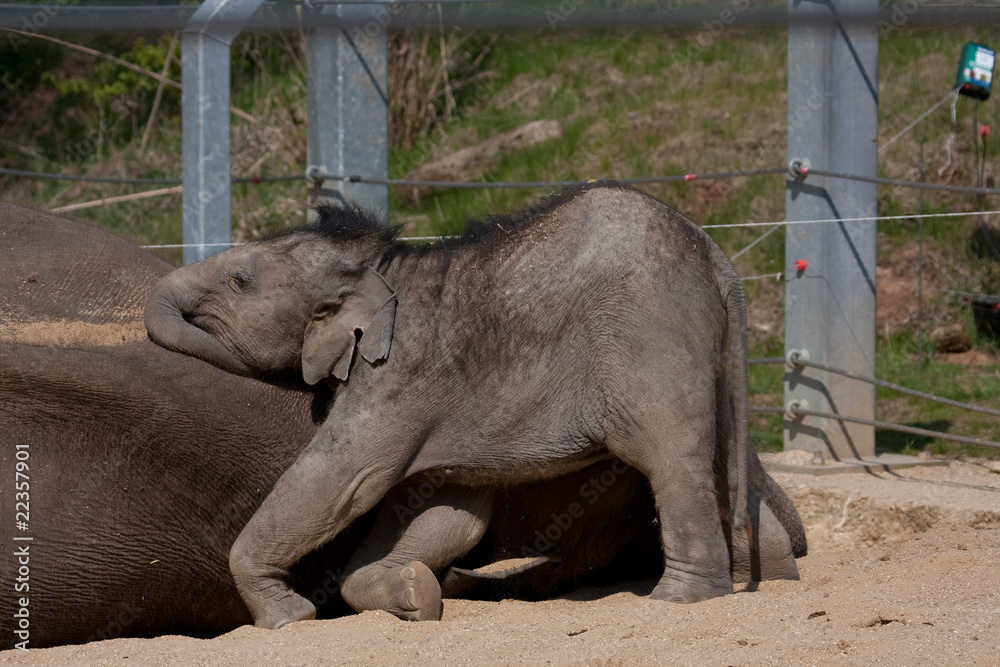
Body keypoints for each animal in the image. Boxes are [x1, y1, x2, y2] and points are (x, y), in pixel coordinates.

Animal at [144, 182, 807, 631]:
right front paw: (414, 593)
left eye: (241, 281)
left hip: (652, 337)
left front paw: (288, 619)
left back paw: (678, 601)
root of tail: (715, 256)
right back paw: (770, 577)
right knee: (722, 462)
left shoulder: (398, 376)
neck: (384, 264)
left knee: (672, 462)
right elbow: (448, 510)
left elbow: (346, 480)